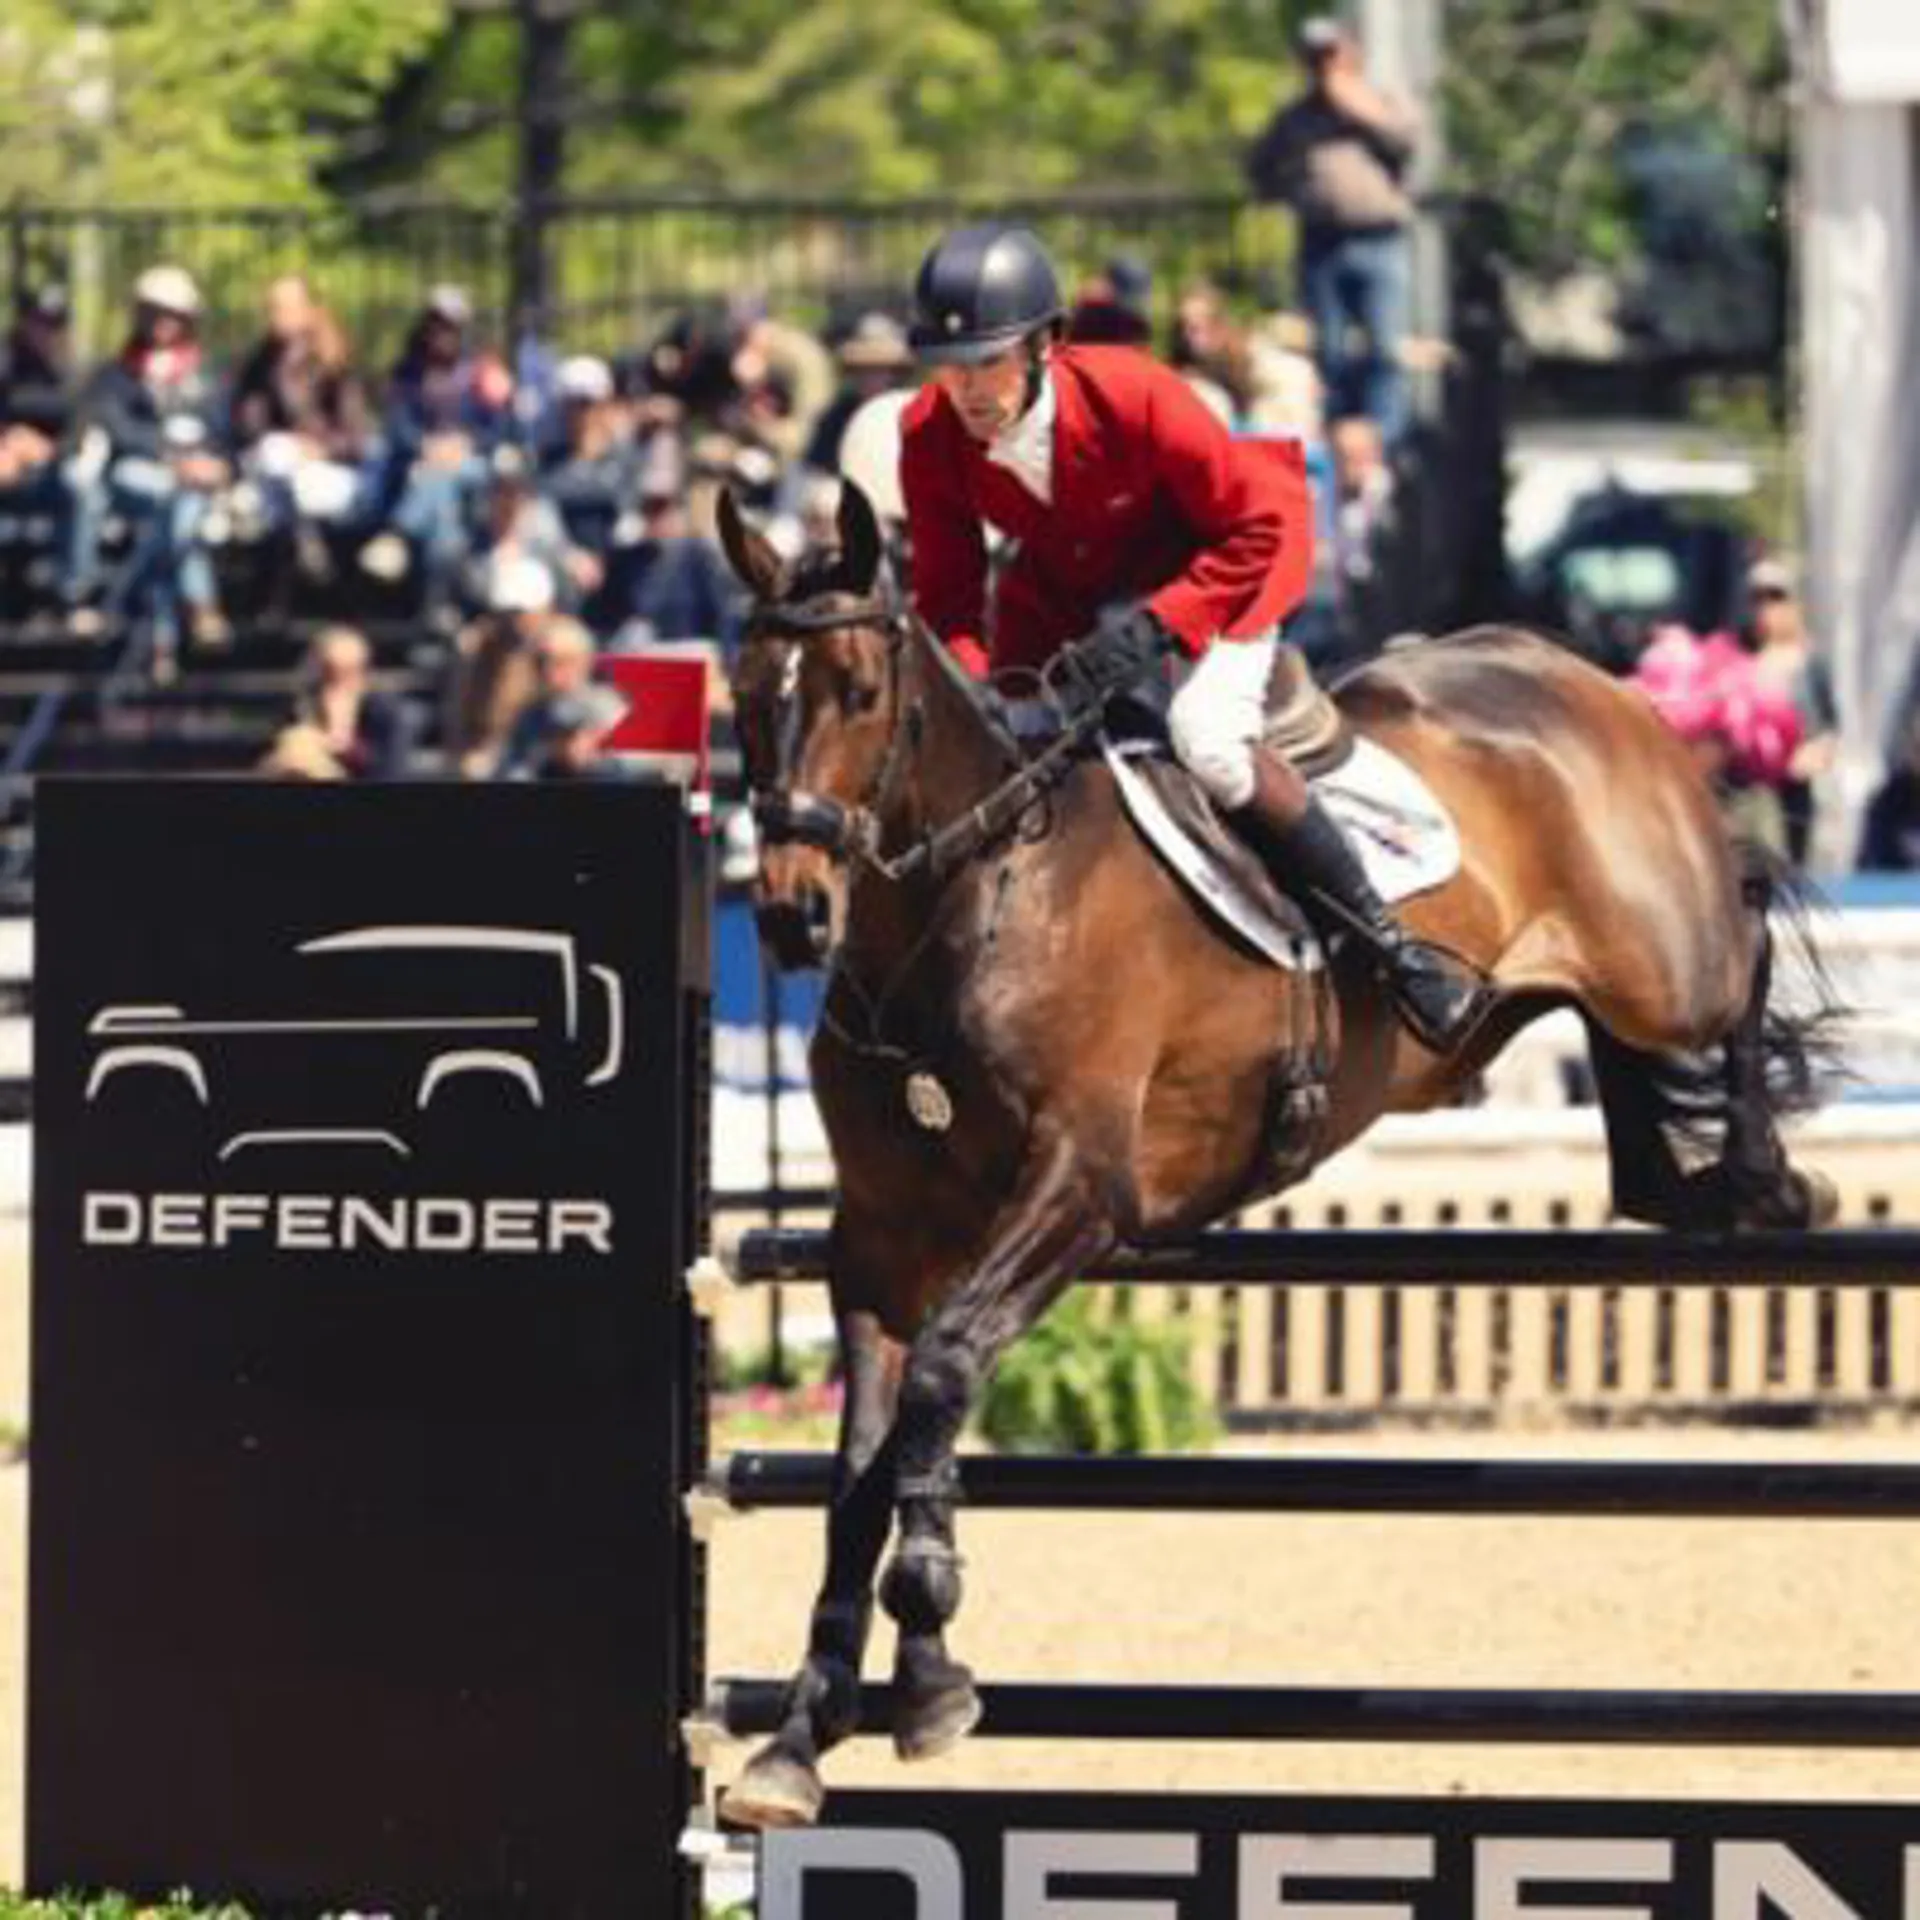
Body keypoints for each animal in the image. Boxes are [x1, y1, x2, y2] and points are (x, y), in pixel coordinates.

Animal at [712, 478, 1837, 1829]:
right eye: (743, 692)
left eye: (859, 690)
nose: (791, 915)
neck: (966, 910)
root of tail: (1572, 664)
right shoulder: (880, 1242)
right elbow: (861, 1473)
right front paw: (804, 1735)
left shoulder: (1077, 1194)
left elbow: (939, 1380)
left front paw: (928, 1648)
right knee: (1638, 1099)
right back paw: (1697, 1175)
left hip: (1667, 967)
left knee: (1751, 928)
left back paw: (1772, 1173)